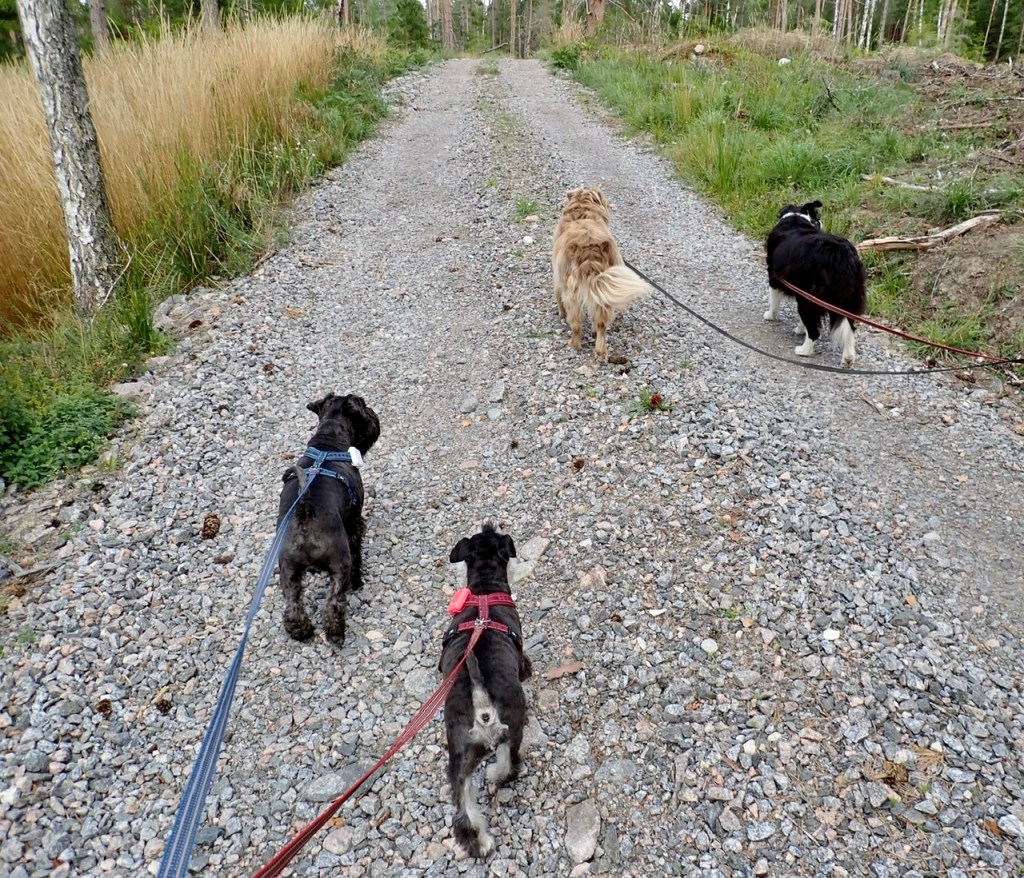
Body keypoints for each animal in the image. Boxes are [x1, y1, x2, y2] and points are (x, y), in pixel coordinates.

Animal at [276, 393, 380, 643]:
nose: (374, 415)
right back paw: (336, 632)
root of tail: (305, 514)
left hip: (288, 570)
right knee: (334, 602)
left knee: (292, 606)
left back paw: (301, 632)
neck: (327, 441)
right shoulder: (354, 522)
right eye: (363, 406)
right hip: (340, 564)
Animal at [438, 523, 532, 857]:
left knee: (462, 800)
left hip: (460, 753)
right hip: (514, 725)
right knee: (509, 763)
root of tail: (482, 705)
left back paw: (478, 841)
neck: (483, 593)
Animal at [551, 186, 652, 361]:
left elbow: (558, 296)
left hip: (572, 295)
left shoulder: (559, 278)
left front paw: (561, 313)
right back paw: (601, 351)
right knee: (601, 324)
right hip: (603, 294)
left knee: (576, 325)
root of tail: (589, 250)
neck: (582, 210)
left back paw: (574, 345)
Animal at [764, 200, 867, 367]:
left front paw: (770, 316)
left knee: (815, 332)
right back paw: (848, 358)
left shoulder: (774, 276)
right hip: (850, 299)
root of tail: (841, 255)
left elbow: (773, 300)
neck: (797, 218)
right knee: (850, 328)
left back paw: (803, 351)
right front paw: (800, 329)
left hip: (810, 297)